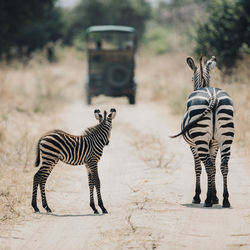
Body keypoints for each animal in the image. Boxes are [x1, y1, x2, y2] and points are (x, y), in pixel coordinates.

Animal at [171, 56, 233, 207]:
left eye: (191, 79)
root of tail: (213, 97)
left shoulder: (193, 146)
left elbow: (198, 168)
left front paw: (198, 196)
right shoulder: (215, 144)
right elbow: (215, 167)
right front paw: (216, 197)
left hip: (200, 138)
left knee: (208, 166)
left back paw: (207, 200)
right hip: (226, 136)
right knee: (224, 165)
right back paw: (226, 200)